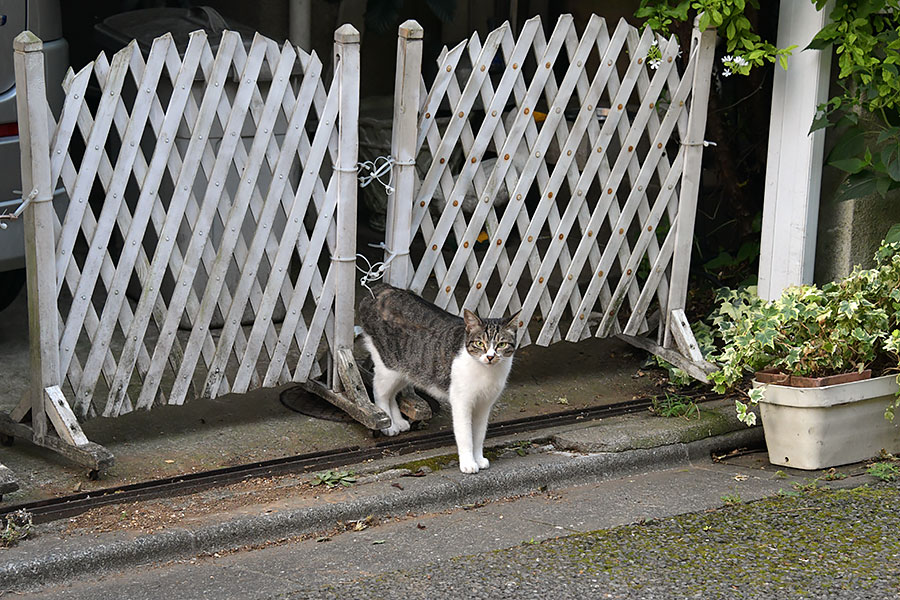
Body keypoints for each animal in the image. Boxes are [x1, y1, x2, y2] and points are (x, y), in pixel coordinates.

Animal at [358, 284, 520, 476]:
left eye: (501, 344)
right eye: (480, 343)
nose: (490, 356)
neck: (487, 372)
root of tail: (381, 288)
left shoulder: (484, 405)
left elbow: (479, 434)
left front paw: (479, 459)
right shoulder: (461, 401)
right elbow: (466, 435)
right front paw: (468, 463)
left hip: (408, 368)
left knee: (392, 394)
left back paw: (398, 421)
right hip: (388, 366)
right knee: (380, 393)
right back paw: (388, 426)